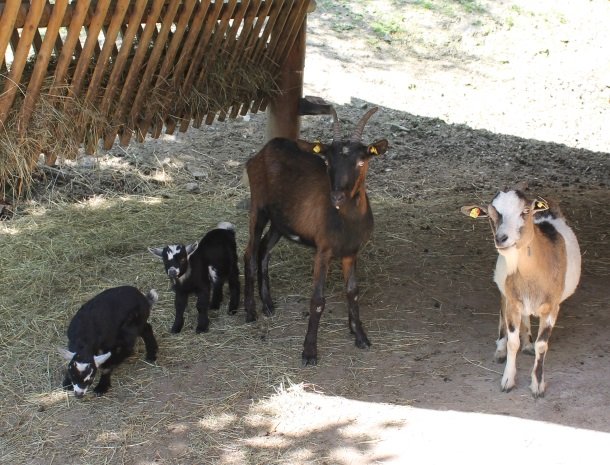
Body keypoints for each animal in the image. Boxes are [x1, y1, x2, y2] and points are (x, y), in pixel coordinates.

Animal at [241, 107, 384, 364]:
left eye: (361, 161)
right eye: (327, 161)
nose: (337, 196)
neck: (346, 220)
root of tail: (263, 151)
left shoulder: (351, 252)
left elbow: (352, 292)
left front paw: (360, 336)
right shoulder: (323, 251)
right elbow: (317, 300)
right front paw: (309, 352)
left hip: (281, 222)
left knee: (264, 250)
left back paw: (268, 304)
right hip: (258, 208)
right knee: (250, 253)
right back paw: (250, 311)